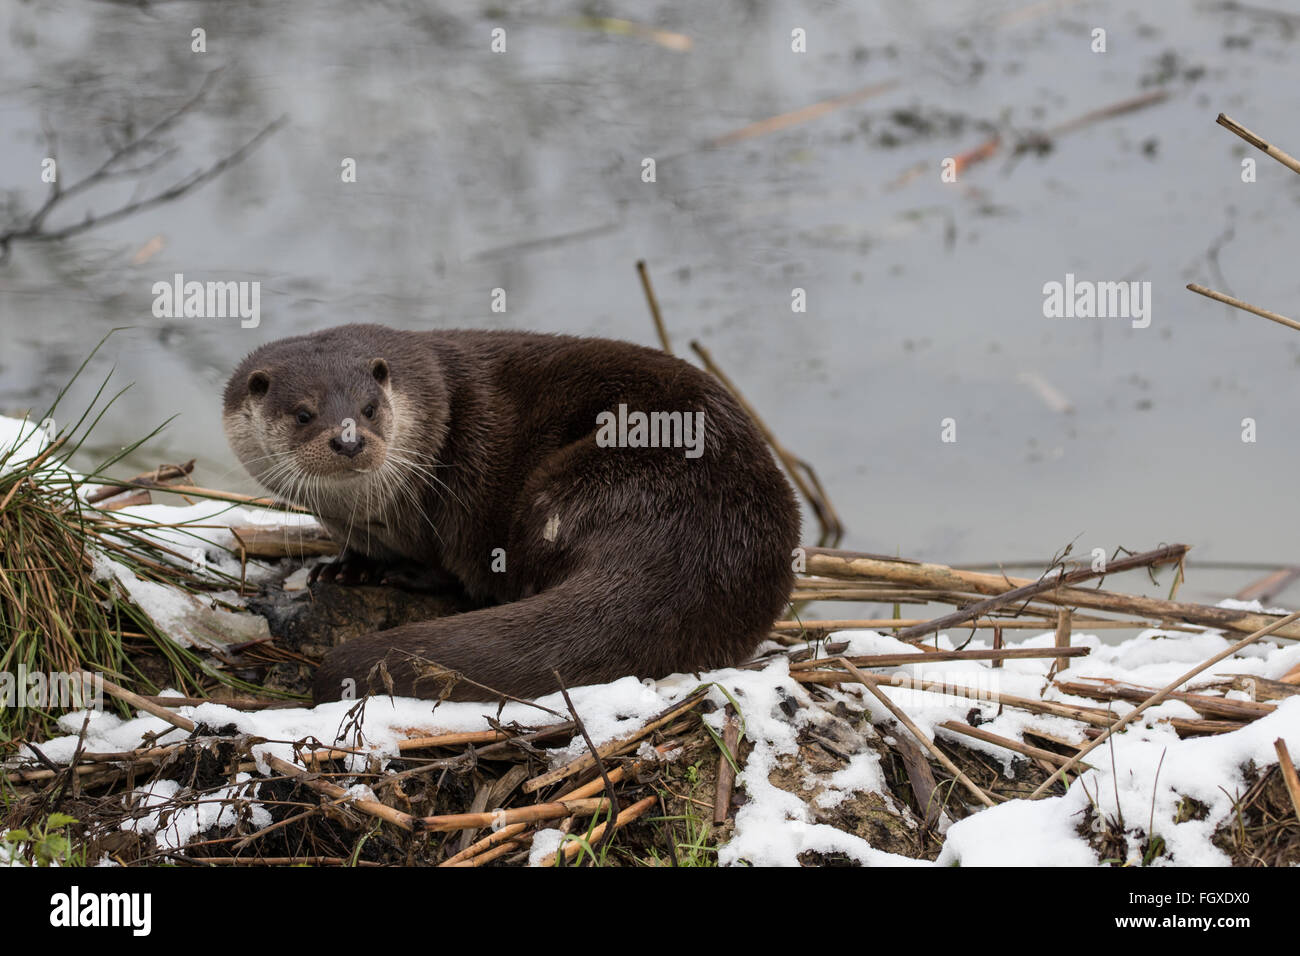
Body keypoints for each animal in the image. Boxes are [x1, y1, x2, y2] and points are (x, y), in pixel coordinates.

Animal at [223, 325, 800, 707]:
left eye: (368, 408)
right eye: (304, 413)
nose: (348, 439)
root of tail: (694, 538)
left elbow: (448, 568)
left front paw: (388, 571)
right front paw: (345, 567)